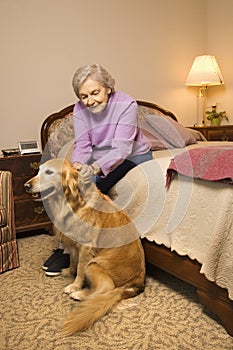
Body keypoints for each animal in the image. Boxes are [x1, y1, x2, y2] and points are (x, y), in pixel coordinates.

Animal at [24, 159, 146, 336]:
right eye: (39, 170)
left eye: (49, 172)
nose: (26, 186)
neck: (71, 202)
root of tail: (138, 284)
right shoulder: (74, 244)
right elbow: (73, 261)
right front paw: (69, 271)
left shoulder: (85, 249)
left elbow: (80, 269)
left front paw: (75, 285)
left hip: (94, 265)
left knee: (104, 290)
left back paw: (80, 294)